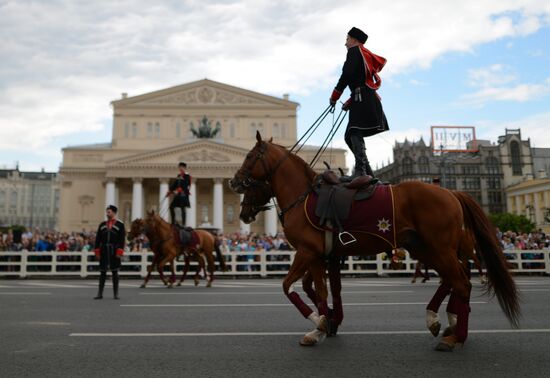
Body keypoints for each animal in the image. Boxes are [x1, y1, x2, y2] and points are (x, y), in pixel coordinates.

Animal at [230, 133, 520, 352]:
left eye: (249, 157)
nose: (234, 183)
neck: (303, 197)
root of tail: (451, 192)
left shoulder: (307, 252)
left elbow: (290, 286)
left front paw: (319, 322)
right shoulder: (322, 256)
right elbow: (322, 290)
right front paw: (326, 322)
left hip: (440, 249)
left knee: (461, 282)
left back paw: (455, 335)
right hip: (426, 249)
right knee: (453, 280)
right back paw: (441, 320)